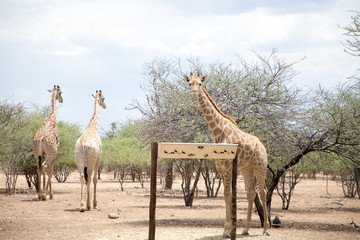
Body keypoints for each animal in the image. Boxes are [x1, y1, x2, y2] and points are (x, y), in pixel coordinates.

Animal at [184, 72, 268, 236]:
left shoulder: (228, 165)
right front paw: (227, 229)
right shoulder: (220, 167)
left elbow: (229, 194)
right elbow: (225, 195)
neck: (218, 131)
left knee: (263, 191)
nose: (194, 92)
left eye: (200, 84)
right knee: (251, 192)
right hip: (246, 167)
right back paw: (245, 229)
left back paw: (266, 229)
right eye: (190, 83)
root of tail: (262, 146)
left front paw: (227, 230)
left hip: (260, 165)